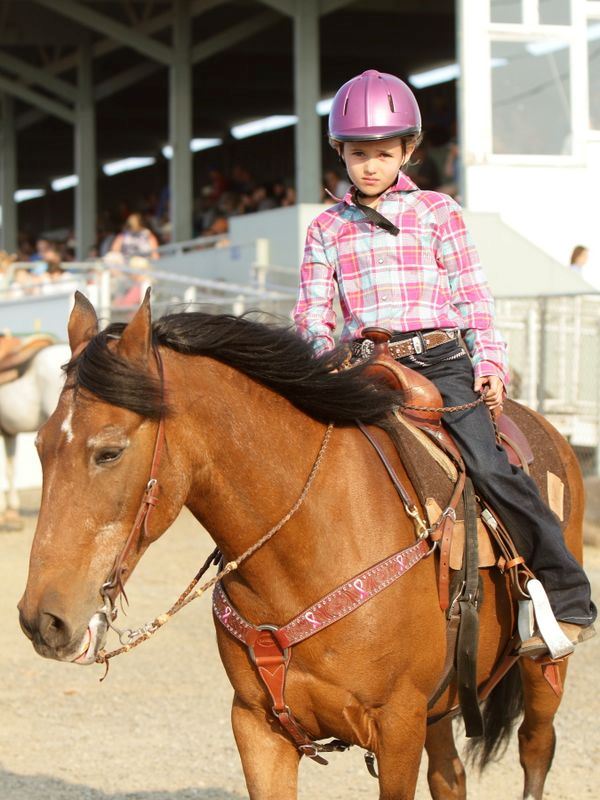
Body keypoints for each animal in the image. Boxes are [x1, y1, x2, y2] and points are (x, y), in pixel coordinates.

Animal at [18, 292, 583, 800]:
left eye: (109, 452)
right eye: (39, 446)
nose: (41, 620)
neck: (307, 545)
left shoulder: (397, 725)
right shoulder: (257, 726)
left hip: (541, 671)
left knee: (536, 747)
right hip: (439, 706)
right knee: (450, 776)